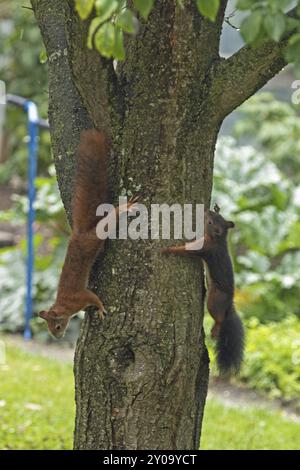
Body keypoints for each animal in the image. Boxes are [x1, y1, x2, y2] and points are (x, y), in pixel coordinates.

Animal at [37, 130, 139, 340]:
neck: (64, 304)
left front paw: (100, 309)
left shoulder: (80, 297)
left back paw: (125, 207)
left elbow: (94, 298)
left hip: (95, 237)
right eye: (50, 329)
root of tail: (79, 234)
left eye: (57, 326)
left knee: (108, 221)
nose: (58, 338)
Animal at [162, 204, 244, 376]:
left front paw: (167, 249)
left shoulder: (205, 248)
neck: (217, 240)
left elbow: (186, 250)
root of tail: (229, 304)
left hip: (214, 300)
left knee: (219, 318)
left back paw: (215, 329)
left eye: (211, 222)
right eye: (216, 216)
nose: (206, 211)